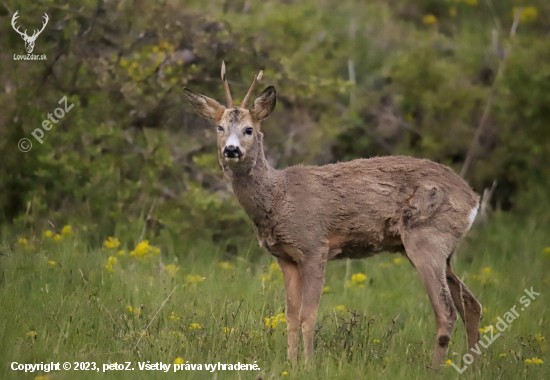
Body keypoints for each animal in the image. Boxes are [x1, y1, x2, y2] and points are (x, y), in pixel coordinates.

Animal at [184, 62, 484, 368]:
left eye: (248, 129)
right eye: (219, 127)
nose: (231, 150)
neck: (278, 198)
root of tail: (472, 198)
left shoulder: (314, 246)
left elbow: (308, 315)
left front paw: (307, 365)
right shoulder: (286, 257)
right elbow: (290, 315)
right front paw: (290, 363)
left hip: (427, 238)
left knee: (447, 311)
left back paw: (436, 368)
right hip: (438, 249)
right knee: (472, 304)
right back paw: (473, 367)